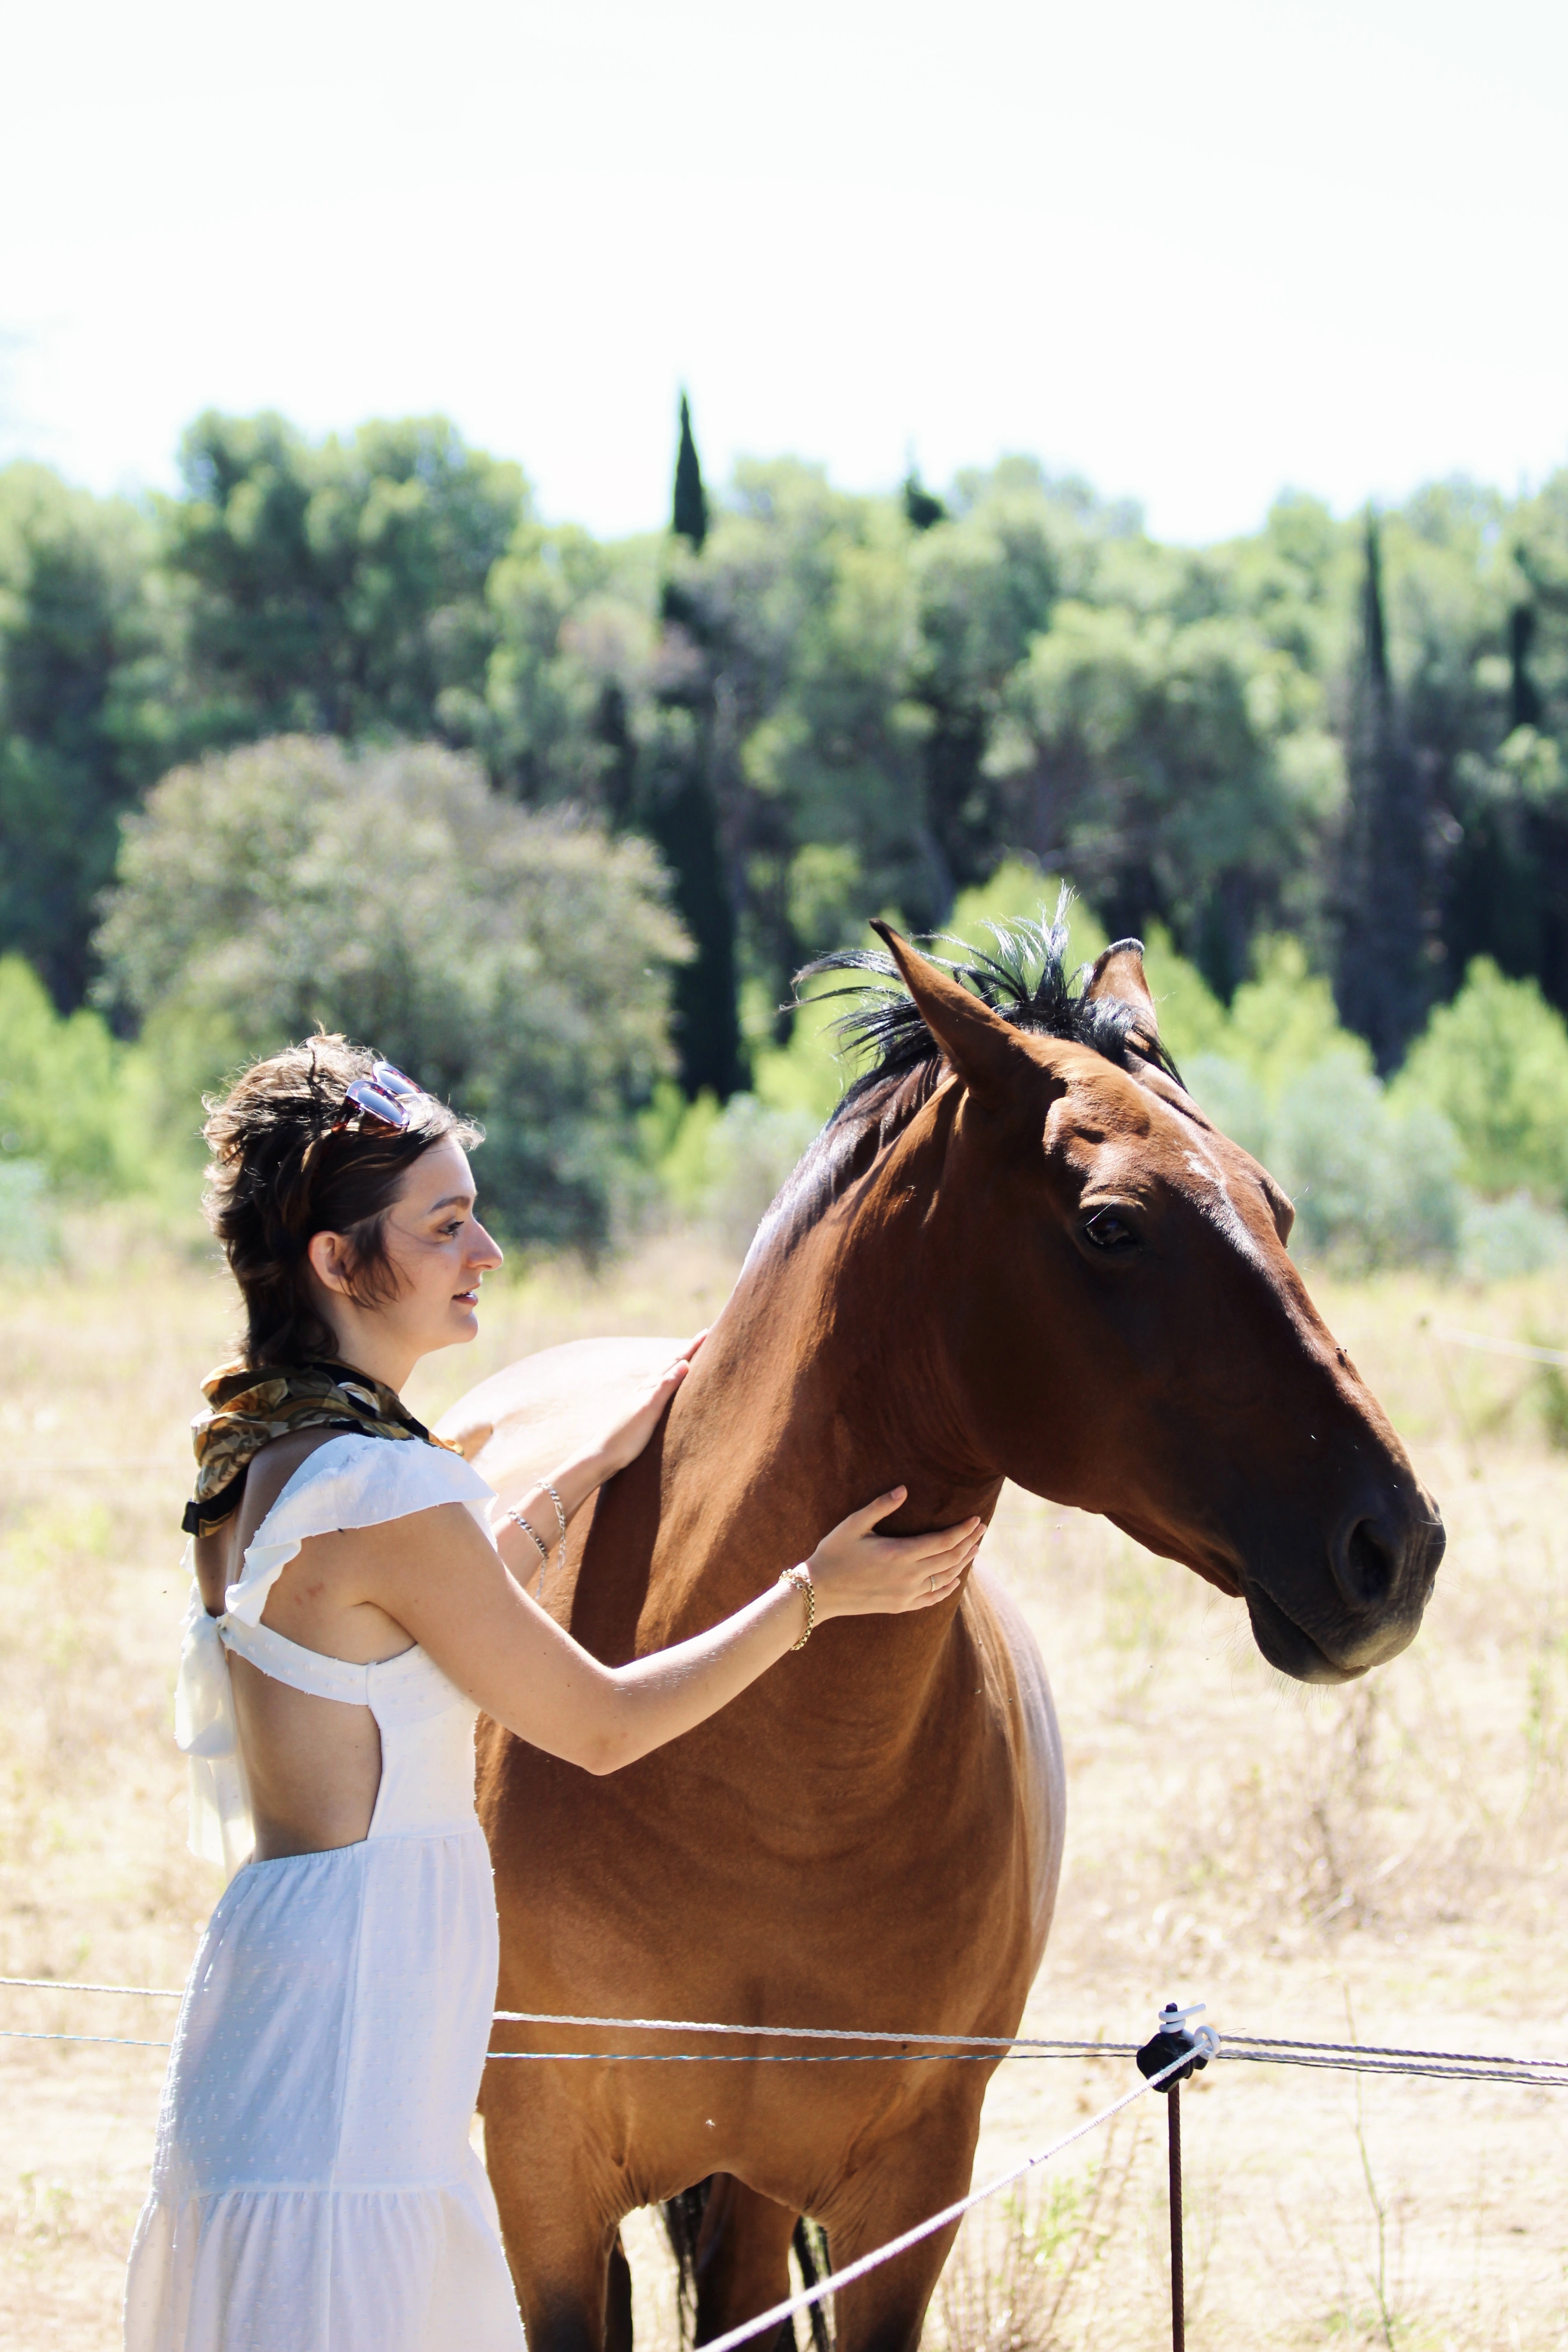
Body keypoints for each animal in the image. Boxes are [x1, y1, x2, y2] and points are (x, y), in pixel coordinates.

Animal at [437, 915, 1443, 2352]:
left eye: (1276, 1206)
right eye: (1111, 1225)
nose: (1394, 1546)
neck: (753, 1783)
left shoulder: (907, 2198)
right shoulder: (546, 2178)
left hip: (755, 2187)